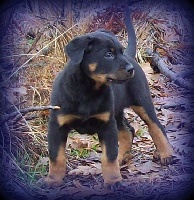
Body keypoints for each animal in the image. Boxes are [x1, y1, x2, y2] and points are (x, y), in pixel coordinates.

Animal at [44, 9, 174, 188]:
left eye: (120, 52)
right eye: (108, 54)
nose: (130, 69)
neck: (88, 90)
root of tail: (131, 57)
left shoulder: (106, 125)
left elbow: (109, 156)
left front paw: (113, 181)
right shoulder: (57, 125)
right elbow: (56, 156)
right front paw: (52, 180)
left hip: (141, 101)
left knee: (156, 126)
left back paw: (165, 154)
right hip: (116, 112)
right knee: (128, 131)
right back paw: (122, 158)